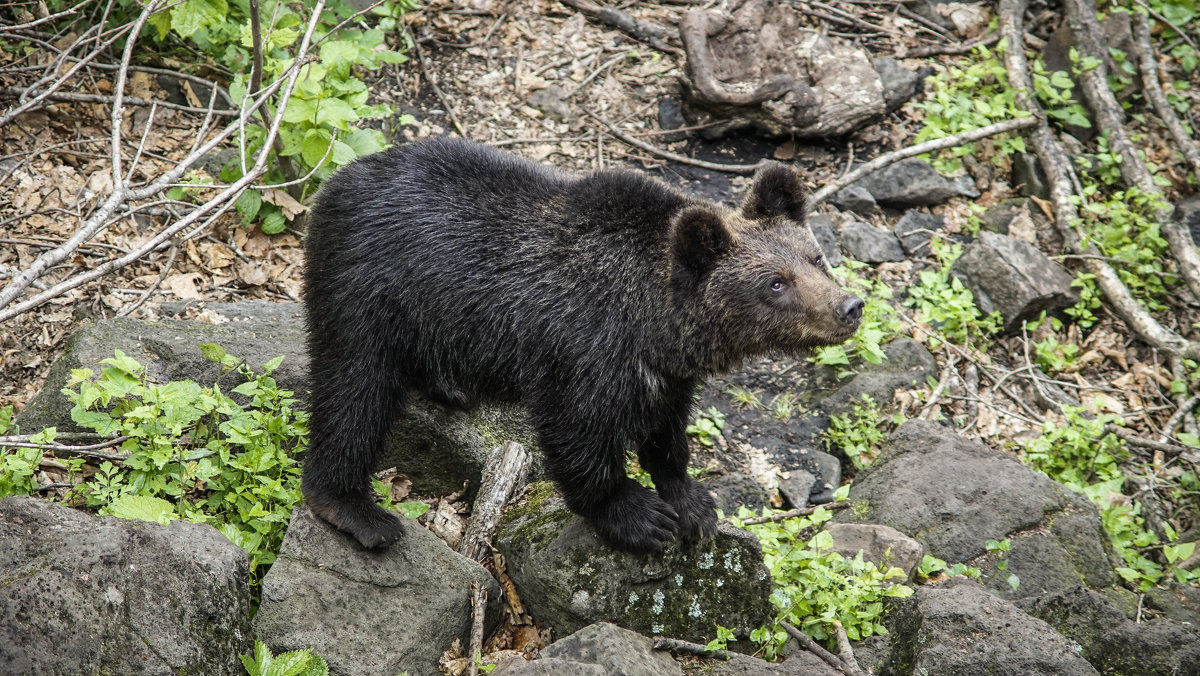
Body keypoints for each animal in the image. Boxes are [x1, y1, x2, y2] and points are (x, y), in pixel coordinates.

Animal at [300, 137, 864, 554]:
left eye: (815, 258)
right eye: (776, 283)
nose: (850, 307)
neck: (654, 324)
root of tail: (337, 182)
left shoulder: (665, 372)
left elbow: (666, 433)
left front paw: (693, 502)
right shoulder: (581, 348)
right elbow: (578, 437)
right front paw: (639, 516)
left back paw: (449, 386)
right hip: (369, 291)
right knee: (355, 390)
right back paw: (356, 509)